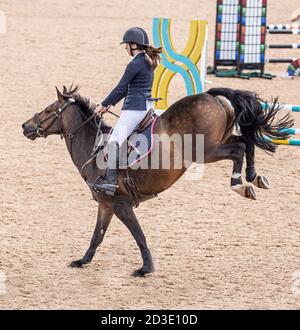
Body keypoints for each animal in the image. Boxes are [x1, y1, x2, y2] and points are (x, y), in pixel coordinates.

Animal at [21, 85, 292, 276]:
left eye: (49, 110)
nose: (25, 126)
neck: (93, 148)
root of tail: (210, 96)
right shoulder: (105, 205)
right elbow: (97, 235)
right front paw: (83, 260)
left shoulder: (120, 205)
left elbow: (138, 235)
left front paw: (146, 268)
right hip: (220, 140)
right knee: (245, 140)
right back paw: (254, 177)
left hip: (206, 151)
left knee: (239, 148)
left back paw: (241, 185)